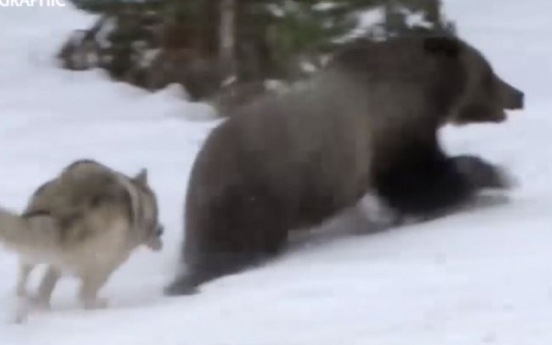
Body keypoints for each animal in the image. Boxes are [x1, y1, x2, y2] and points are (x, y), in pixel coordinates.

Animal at [165, 35, 528, 294]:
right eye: (489, 72)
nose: (518, 94)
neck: (421, 92)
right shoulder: (387, 134)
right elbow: (419, 180)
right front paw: (493, 178)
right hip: (258, 190)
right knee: (241, 244)